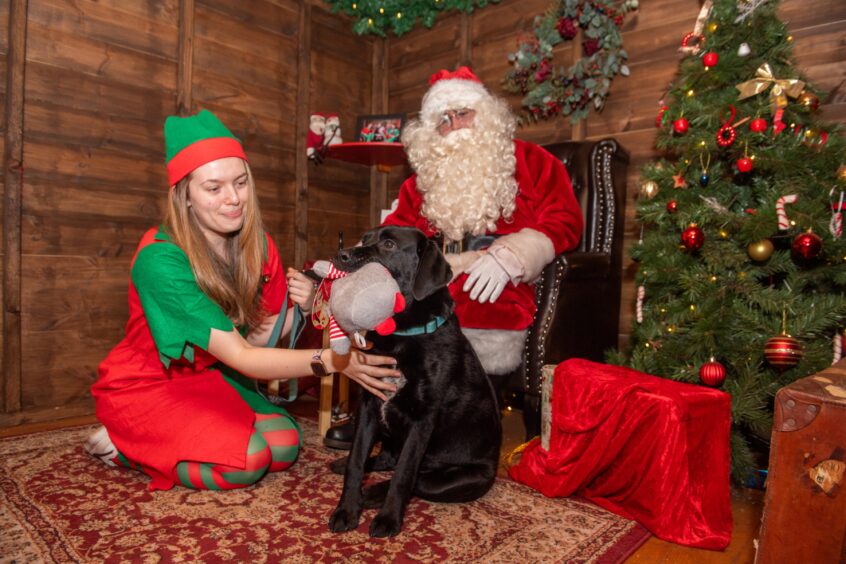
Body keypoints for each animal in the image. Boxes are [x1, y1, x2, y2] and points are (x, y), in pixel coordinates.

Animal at [330, 225, 504, 536]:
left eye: (389, 244)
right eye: (365, 238)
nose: (341, 255)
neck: (402, 336)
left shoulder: (422, 420)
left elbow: (404, 475)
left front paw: (388, 519)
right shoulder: (369, 406)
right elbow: (356, 461)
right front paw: (347, 510)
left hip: (459, 479)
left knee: (417, 479)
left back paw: (373, 494)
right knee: (386, 459)